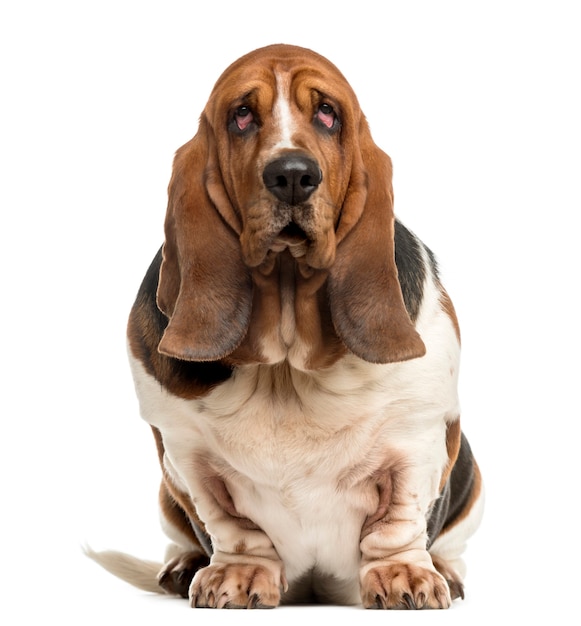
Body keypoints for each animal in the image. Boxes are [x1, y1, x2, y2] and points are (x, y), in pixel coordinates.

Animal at [87, 42, 484, 604]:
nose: (293, 174)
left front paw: (403, 575)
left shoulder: (418, 437)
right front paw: (237, 574)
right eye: (241, 115)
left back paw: (444, 569)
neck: (287, 361)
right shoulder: (185, 451)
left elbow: (398, 520)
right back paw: (185, 565)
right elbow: (229, 524)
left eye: (328, 114)